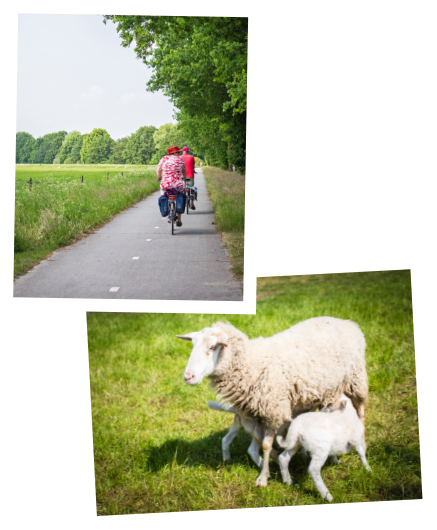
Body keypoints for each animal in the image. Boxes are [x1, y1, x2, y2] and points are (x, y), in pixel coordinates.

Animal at [175, 316, 366, 484]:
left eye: (214, 347)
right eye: (192, 345)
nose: (188, 377)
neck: (253, 365)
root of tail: (346, 322)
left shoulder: (275, 411)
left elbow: (266, 445)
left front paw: (263, 478)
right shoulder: (258, 415)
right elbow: (259, 441)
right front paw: (273, 462)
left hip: (357, 381)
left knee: (361, 412)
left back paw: (361, 445)